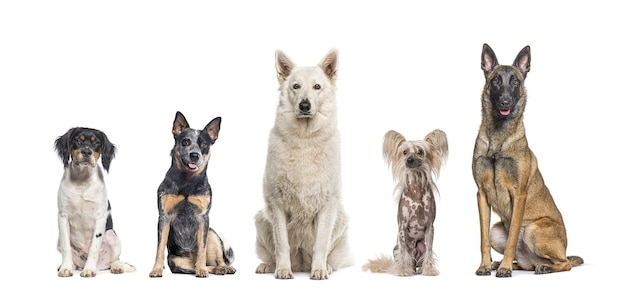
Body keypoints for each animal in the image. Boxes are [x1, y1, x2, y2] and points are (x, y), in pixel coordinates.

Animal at [54, 128, 135, 278]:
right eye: (77, 140)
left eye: (96, 142)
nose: (86, 152)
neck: (82, 181)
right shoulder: (62, 215)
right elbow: (66, 247)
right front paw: (65, 268)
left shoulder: (100, 217)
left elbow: (94, 248)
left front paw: (89, 270)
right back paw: (70, 265)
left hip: (113, 236)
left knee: (114, 260)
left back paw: (116, 267)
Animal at [149, 111, 236, 278]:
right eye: (185, 141)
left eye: (204, 144)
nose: (194, 155)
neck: (187, 182)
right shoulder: (164, 217)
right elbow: (159, 248)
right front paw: (156, 269)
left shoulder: (203, 218)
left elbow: (202, 248)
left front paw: (201, 270)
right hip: (177, 262)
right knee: (197, 266)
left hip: (212, 234)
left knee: (217, 259)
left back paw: (222, 267)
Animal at [254, 48, 352, 280]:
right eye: (295, 86)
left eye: (317, 87)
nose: (305, 105)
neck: (305, 139)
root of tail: (300, 265)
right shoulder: (277, 205)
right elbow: (282, 245)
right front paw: (282, 270)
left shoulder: (327, 205)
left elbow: (321, 244)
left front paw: (319, 270)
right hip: (261, 219)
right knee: (272, 252)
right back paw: (269, 266)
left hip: (341, 220)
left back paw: (327, 266)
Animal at [364, 129, 446, 276]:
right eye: (404, 152)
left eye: (420, 151)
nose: (409, 159)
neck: (416, 190)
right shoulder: (401, 226)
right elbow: (403, 252)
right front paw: (402, 270)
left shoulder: (430, 227)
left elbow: (430, 251)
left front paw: (429, 270)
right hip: (395, 248)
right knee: (406, 256)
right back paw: (407, 268)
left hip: (421, 246)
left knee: (420, 259)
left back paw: (418, 270)